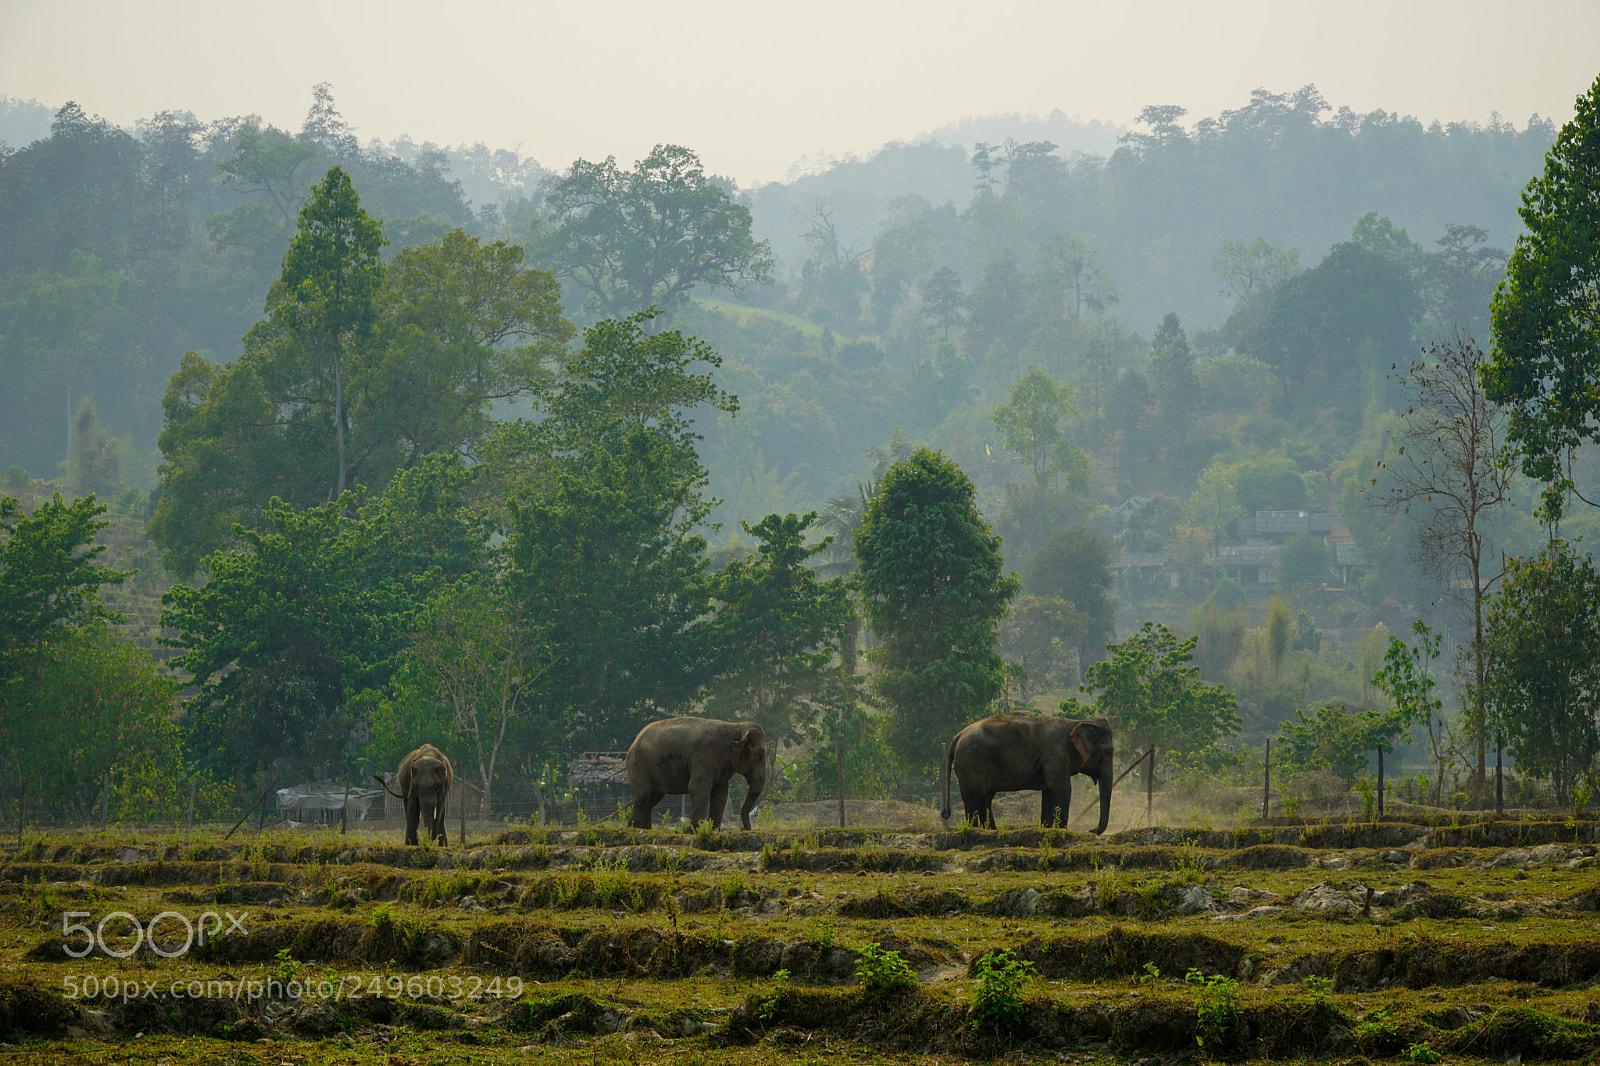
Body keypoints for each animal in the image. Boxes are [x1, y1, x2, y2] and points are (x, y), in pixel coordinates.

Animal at [626, 717, 767, 830]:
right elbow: (699, 789)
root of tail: (633, 742)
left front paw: (714, 830)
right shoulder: (704, 756)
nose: (744, 828)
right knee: (644, 795)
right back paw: (634, 828)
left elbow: (721, 794)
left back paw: (643, 828)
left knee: (653, 798)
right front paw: (694, 830)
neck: (734, 727)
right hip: (639, 764)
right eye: (760, 754)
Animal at [940, 712, 1115, 834]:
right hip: (970, 762)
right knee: (972, 798)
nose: (1092, 830)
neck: (1076, 722)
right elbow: (1062, 788)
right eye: (1108, 751)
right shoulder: (1055, 752)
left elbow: (1049, 790)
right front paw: (1063, 830)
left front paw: (1045, 828)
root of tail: (958, 736)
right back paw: (974, 829)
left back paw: (990, 830)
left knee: (985, 797)